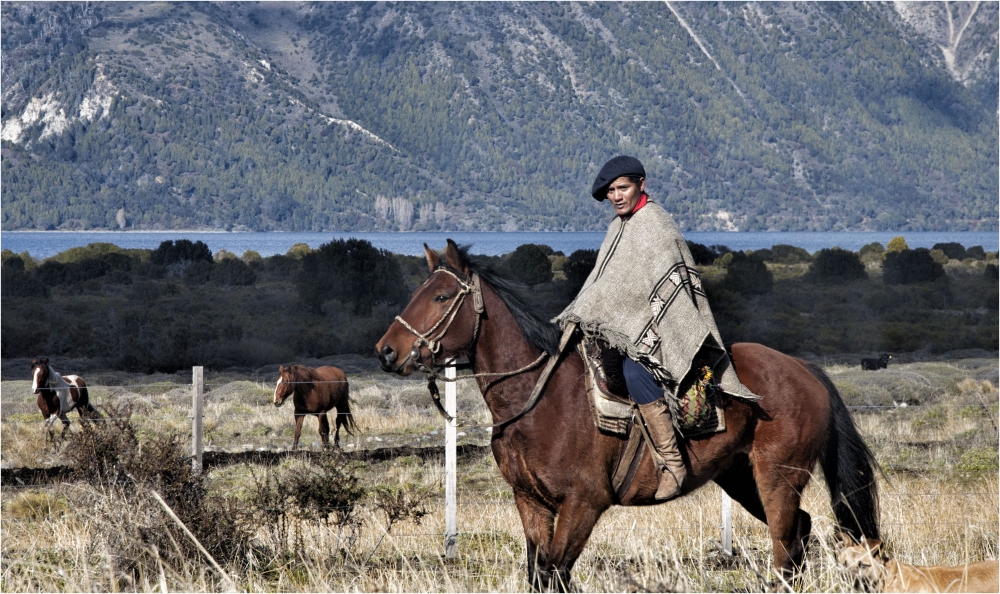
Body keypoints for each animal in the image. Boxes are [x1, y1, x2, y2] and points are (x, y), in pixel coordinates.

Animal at [372, 239, 880, 588]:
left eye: (441, 297)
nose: (386, 351)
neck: (538, 401)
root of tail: (804, 369)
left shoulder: (584, 503)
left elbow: (556, 573)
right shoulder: (530, 503)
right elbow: (540, 575)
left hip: (778, 478)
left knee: (784, 545)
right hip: (740, 478)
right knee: (800, 533)